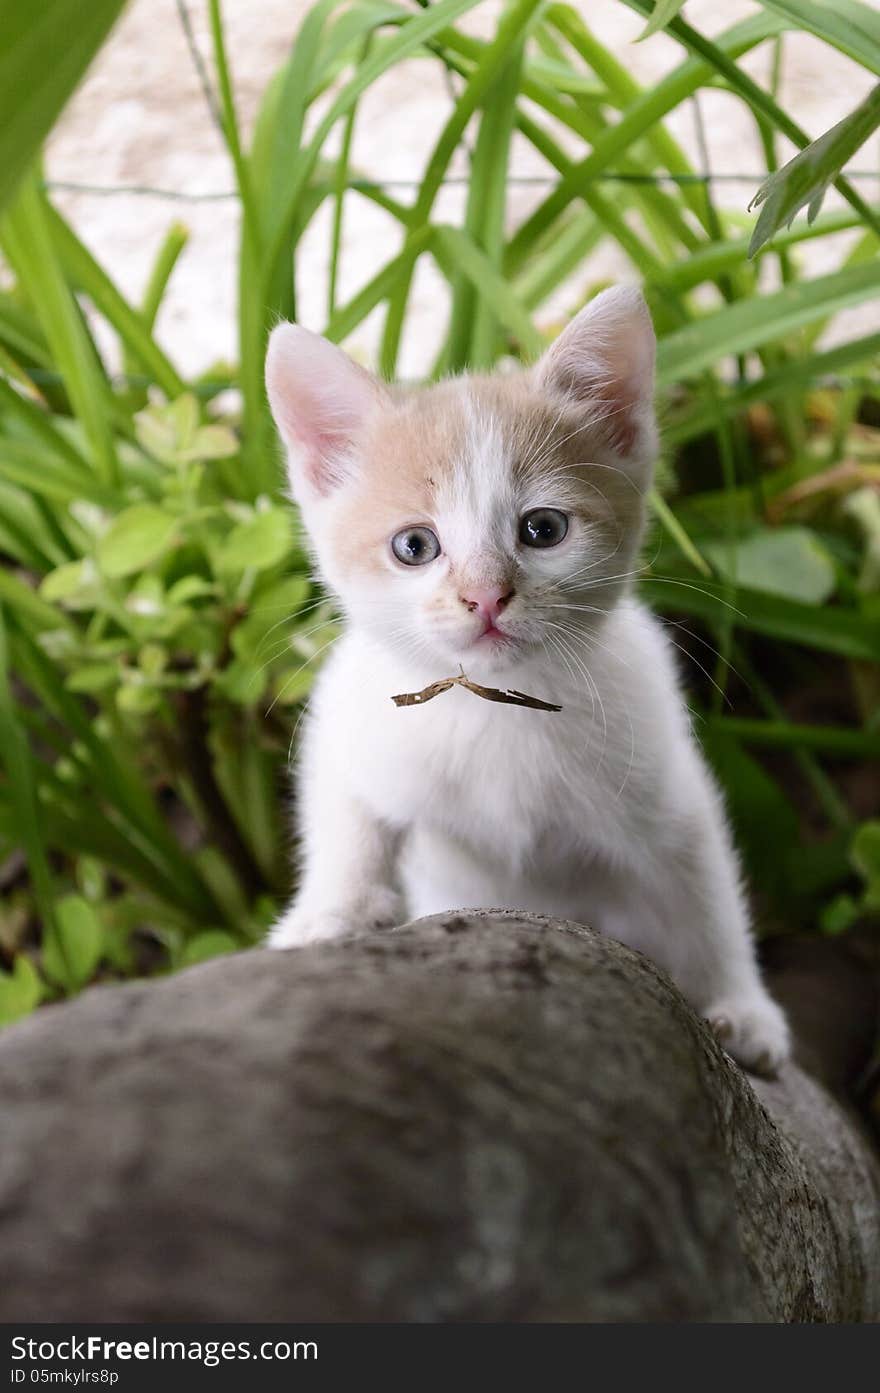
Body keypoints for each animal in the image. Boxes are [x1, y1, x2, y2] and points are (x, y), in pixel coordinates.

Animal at [261, 285, 790, 1075]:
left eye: (542, 529)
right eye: (413, 546)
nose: (485, 596)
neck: (495, 705)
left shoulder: (663, 777)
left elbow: (702, 893)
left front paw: (742, 1006)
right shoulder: (351, 719)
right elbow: (348, 819)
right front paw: (325, 916)